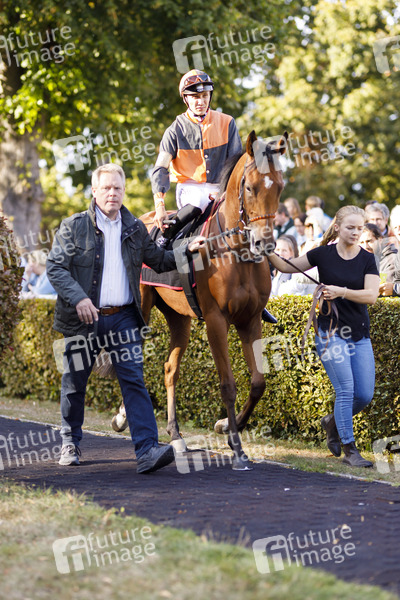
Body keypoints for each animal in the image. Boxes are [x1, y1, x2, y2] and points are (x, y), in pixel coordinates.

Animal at [112, 130, 288, 470]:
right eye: (250, 187)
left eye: (280, 185)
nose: (264, 243)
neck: (234, 251)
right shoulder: (217, 321)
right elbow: (228, 384)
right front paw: (237, 448)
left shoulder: (250, 320)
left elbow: (258, 382)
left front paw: (226, 426)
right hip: (141, 308)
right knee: (134, 359)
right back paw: (123, 417)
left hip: (179, 317)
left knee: (170, 369)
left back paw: (176, 435)